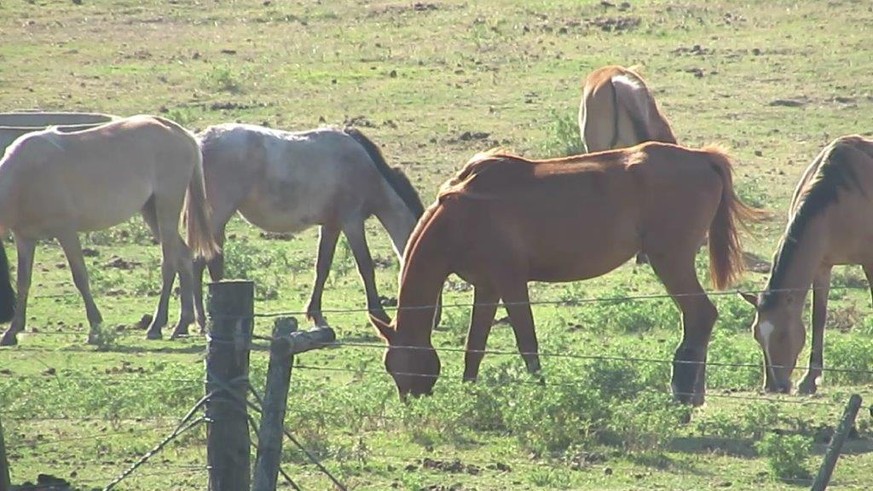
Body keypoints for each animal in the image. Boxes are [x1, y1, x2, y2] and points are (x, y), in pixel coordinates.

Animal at [0, 115, 217, 346]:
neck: (24, 177)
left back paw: (156, 326)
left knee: (169, 263)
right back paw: (182, 325)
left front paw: (95, 328)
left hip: (166, 207)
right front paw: (12, 331)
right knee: (183, 256)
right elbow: (23, 281)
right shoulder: (24, 238)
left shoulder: (66, 232)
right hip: (151, 212)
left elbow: (80, 277)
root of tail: (178, 131)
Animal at [193, 124, 422, 330]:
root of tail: (201, 141)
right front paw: (379, 314)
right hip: (217, 218)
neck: (366, 169)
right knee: (206, 262)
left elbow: (322, 267)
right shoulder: (352, 222)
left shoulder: (332, 226)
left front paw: (316, 315)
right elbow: (365, 266)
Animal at [368, 142, 764, 408]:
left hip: (671, 261)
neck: (462, 213)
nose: (410, 402)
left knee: (700, 315)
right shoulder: (487, 286)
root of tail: (702, 158)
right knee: (701, 318)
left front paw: (540, 391)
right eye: (389, 368)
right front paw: (469, 391)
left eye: (400, 366)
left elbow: (527, 341)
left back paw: (682, 394)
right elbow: (474, 347)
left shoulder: (511, 283)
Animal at [740, 135, 872, 396]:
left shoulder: (869, 260)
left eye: (782, 335)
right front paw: (809, 379)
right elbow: (818, 318)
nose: (774, 386)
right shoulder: (821, 266)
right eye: (756, 334)